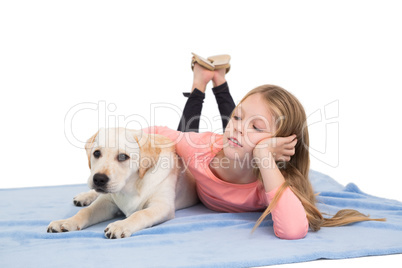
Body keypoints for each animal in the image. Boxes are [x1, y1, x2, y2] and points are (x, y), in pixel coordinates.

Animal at [48, 127, 199, 239]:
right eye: (96, 153)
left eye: (122, 157)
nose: (99, 179)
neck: (131, 185)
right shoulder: (107, 201)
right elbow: (87, 211)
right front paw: (67, 222)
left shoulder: (162, 205)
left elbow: (141, 214)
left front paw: (120, 225)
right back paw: (84, 196)